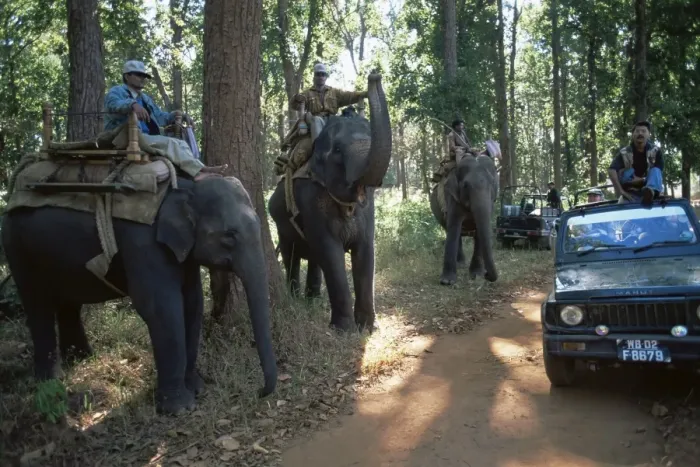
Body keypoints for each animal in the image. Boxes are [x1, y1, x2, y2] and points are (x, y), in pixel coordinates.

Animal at [1, 175, 277, 415]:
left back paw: (81, 358)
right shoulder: (143, 243)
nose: (260, 392)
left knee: (69, 302)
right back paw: (50, 379)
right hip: (18, 247)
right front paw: (179, 408)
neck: (184, 186)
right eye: (229, 236)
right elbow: (161, 308)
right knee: (37, 304)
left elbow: (192, 302)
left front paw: (197, 388)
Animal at [268, 73, 392, 332]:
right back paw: (296, 298)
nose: (374, 75)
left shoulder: (366, 213)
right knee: (291, 254)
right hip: (281, 221)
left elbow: (366, 250)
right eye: (337, 150)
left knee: (314, 258)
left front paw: (369, 328)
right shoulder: (311, 200)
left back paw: (313, 299)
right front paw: (343, 330)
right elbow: (331, 253)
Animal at [429, 153, 499, 285]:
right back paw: (460, 264)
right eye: (465, 185)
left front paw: (477, 275)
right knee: (452, 231)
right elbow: (454, 227)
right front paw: (447, 281)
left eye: (493, 183)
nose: (487, 274)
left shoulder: (491, 203)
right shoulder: (452, 196)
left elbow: (479, 230)